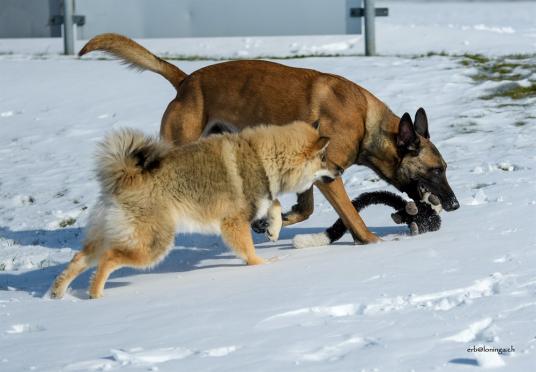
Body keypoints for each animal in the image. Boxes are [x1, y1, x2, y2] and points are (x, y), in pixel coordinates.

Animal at [80, 33, 460, 244]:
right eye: (437, 169)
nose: (455, 204)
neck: (368, 122)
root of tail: (186, 81)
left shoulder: (313, 169)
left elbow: (305, 209)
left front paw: (275, 221)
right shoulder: (330, 173)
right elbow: (352, 215)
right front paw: (370, 241)